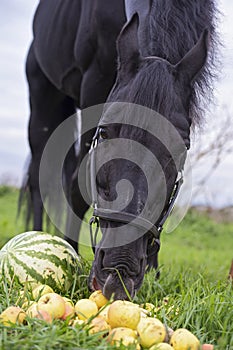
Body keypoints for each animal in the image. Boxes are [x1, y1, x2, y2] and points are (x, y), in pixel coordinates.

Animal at [22, 1, 218, 300]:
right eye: (104, 132)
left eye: (182, 148)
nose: (119, 273)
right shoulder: (93, 83)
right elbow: (77, 187)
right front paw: (72, 251)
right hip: (43, 100)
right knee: (38, 177)